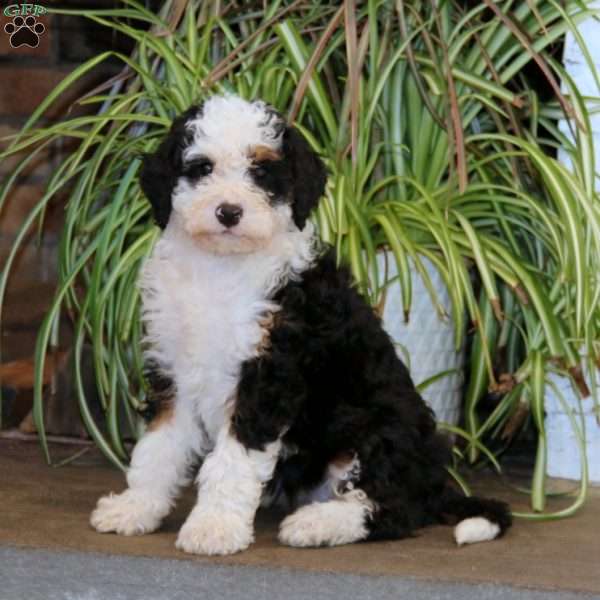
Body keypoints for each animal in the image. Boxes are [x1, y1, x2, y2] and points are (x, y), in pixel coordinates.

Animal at [90, 95, 510, 556]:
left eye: (261, 172)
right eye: (202, 168)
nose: (229, 212)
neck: (221, 269)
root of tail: (435, 483)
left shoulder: (268, 374)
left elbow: (232, 462)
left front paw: (214, 527)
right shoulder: (174, 370)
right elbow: (157, 448)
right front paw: (136, 507)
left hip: (374, 431)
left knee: (391, 509)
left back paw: (316, 524)